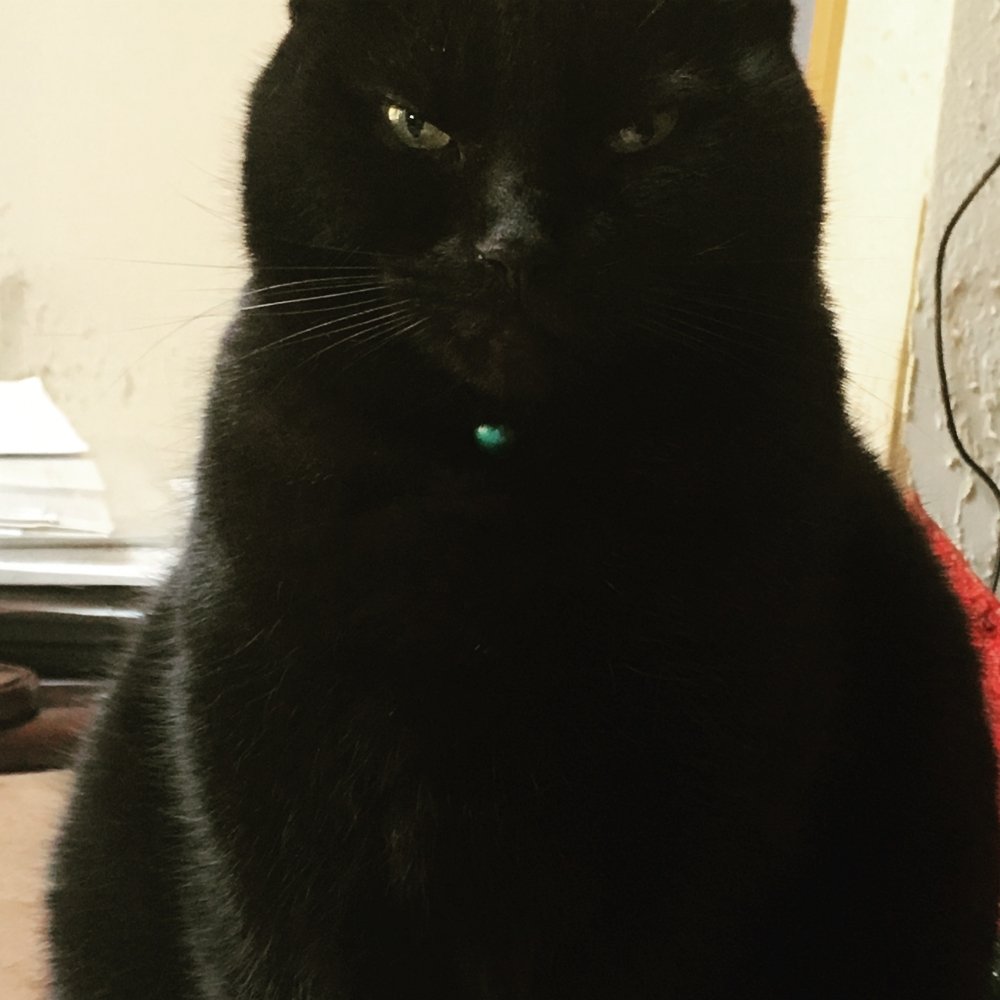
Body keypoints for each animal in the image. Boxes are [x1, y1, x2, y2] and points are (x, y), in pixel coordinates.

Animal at [48, 1, 999, 998]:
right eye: (416, 125)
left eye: (641, 130)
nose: (515, 247)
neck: (500, 479)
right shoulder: (266, 785)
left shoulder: (704, 819)